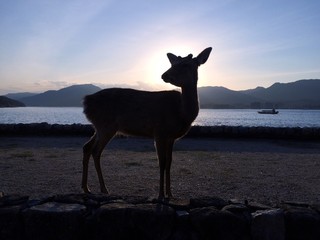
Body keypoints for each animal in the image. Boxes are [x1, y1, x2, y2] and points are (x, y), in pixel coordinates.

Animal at [82, 47, 212, 199]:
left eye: (185, 64)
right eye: (174, 63)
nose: (164, 75)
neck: (182, 114)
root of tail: (86, 102)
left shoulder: (171, 137)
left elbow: (169, 162)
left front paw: (170, 194)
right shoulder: (159, 132)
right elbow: (161, 162)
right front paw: (160, 195)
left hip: (98, 127)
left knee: (87, 147)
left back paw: (86, 188)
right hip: (106, 126)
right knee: (96, 151)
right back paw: (104, 189)